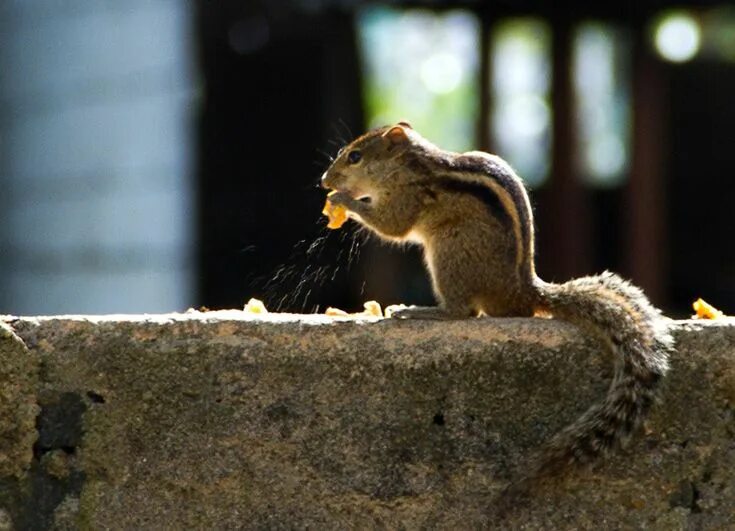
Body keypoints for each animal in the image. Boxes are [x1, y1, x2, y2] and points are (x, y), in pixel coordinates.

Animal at [320, 121, 676, 494]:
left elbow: (392, 226)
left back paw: (418, 310)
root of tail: (523, 292)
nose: (325, 182)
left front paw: (343, 200)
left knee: (463, 312)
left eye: (355, 156)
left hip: (449, 251)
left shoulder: (407, 198)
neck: (409, 166)